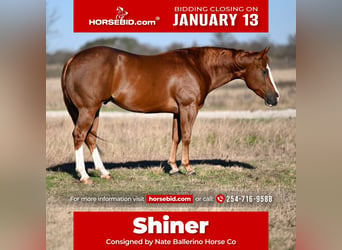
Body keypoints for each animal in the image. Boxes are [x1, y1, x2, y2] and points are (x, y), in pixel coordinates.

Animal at [61, 46, 280, 184]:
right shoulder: (188, 108)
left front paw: (173, 167)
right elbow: (187, 137)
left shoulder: (177, 112)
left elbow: (176, 137)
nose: (275, 97)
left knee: (90, 138)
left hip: (95, 110)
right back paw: (84, 175)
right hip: (88, 109)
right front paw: (188, 168)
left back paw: (104, 172)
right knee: (79, 135)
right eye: (264, 71)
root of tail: (73, 59)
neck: (197, 66)